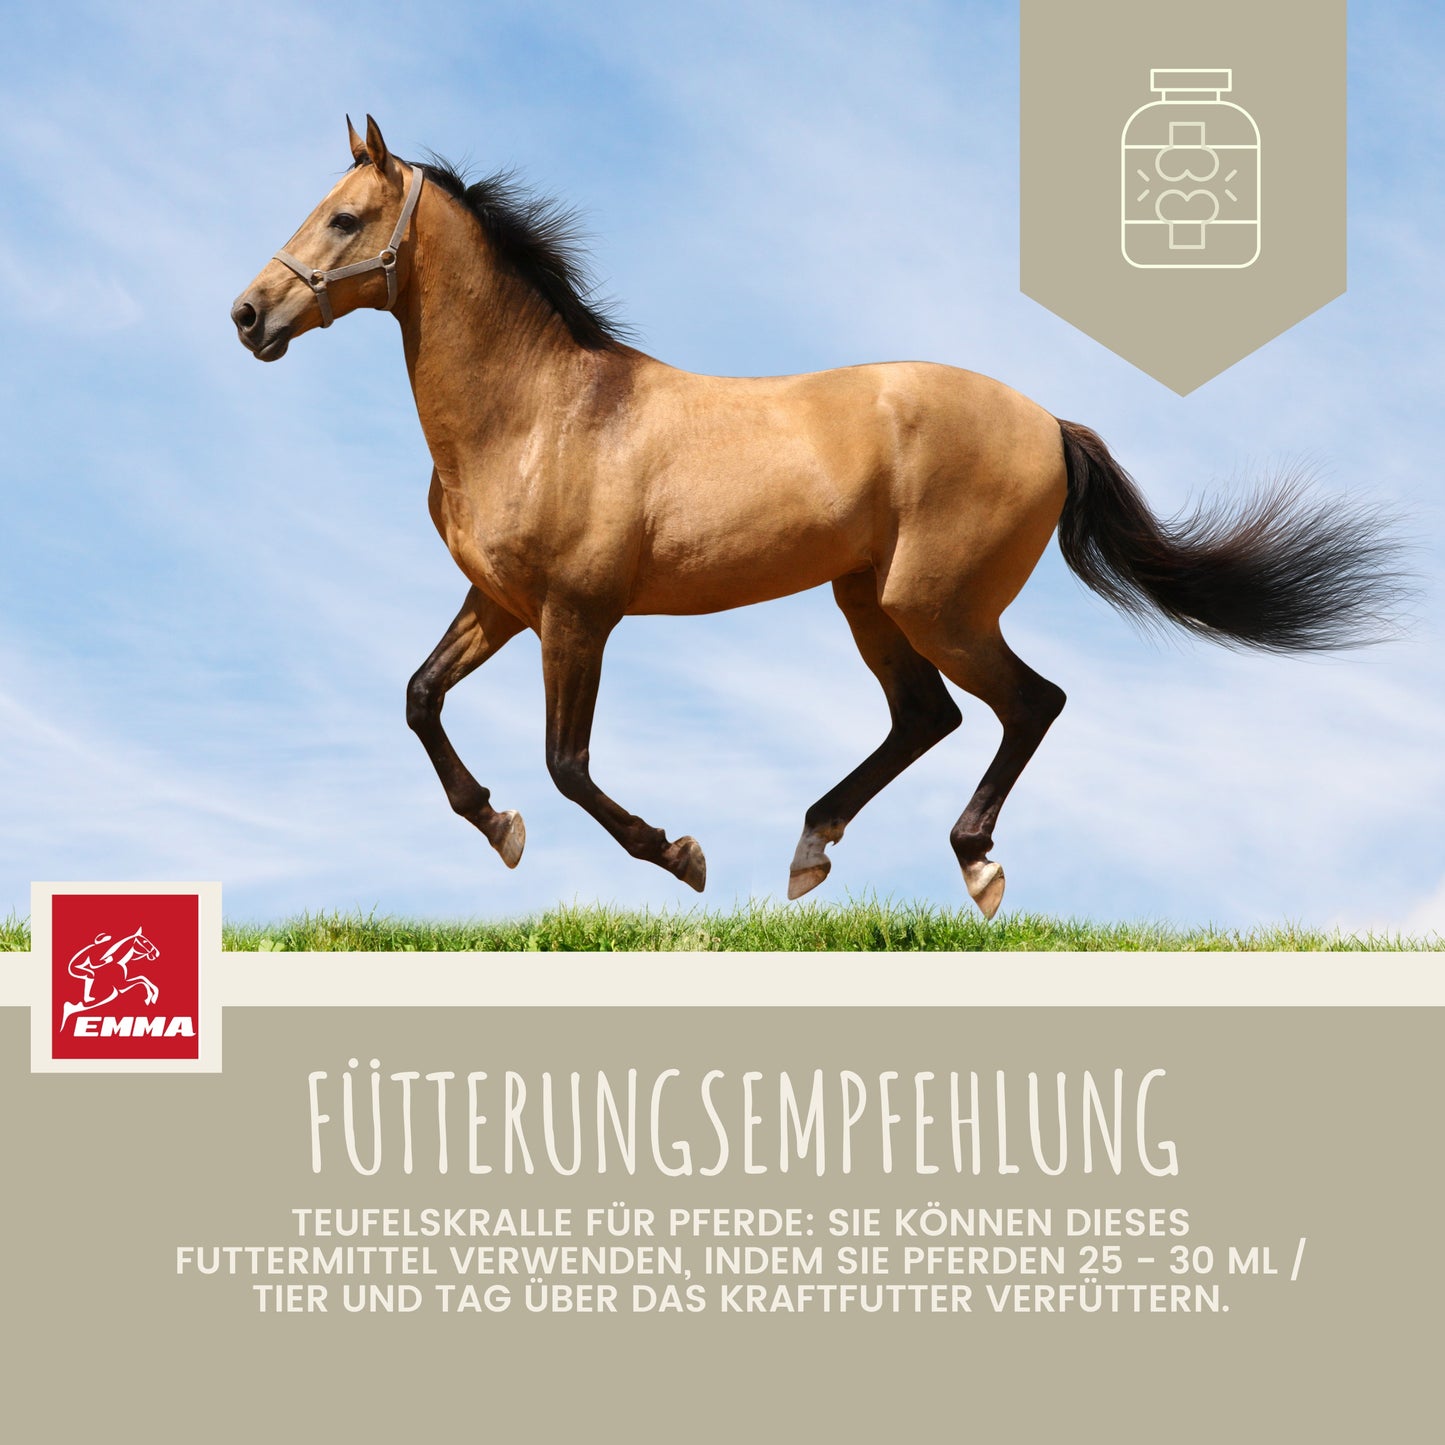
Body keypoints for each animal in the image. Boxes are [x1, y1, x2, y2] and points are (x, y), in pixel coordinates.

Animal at [231, 116, 1400, 917]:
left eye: (344, 218)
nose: (248, 315)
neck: (540, 411)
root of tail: (1047, 422)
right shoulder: (500, 601)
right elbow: (422, 698)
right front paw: (497, 826)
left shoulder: (576, 615)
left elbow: (568, 765)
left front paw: (679, 855)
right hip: (866, 599)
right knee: (926, 716)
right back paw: (811, 850)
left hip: (935, 603)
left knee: (1028, 702)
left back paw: (973, 863)